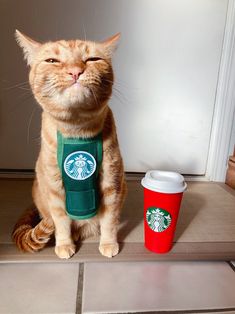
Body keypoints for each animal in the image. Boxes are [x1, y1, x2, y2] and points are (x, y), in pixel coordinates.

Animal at [12, 30, 126, 260]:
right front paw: (65, 244)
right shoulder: (55, 190)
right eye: (52, 61)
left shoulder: (112, 183)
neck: (77, 130)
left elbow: (109, 220)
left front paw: (108, 243)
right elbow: (61, 222)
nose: (75, 71)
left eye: (92, 59)